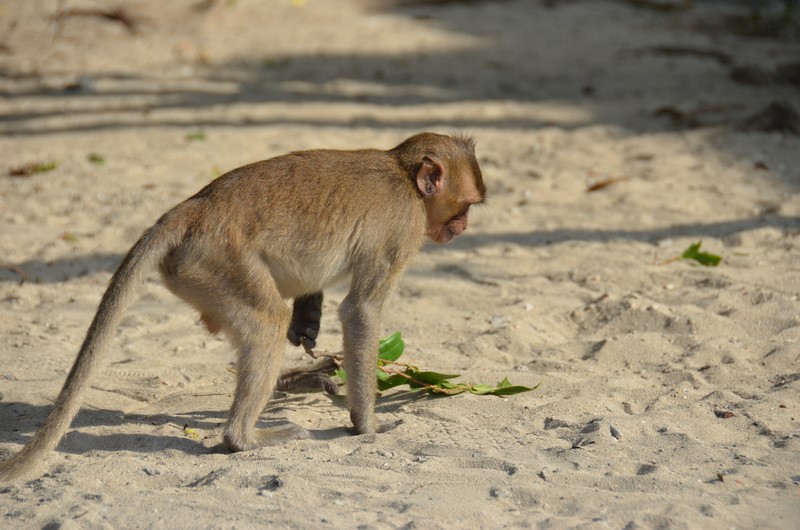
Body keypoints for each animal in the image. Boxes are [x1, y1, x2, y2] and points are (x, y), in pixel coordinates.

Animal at [0, 132, 485, 481]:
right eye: (465, 205)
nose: (463, 226)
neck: (403, 174)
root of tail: (195, 207)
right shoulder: (402, 227)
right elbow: (361, 311)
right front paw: (367, 426)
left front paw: (309, 320)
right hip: (213, 261)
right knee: (267, 320)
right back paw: (243, 439)